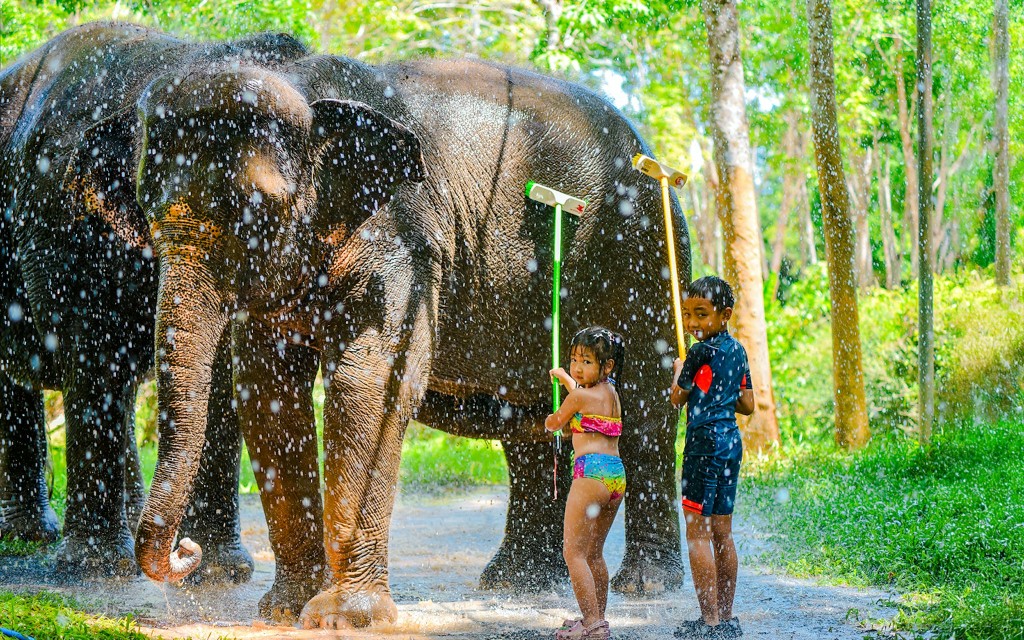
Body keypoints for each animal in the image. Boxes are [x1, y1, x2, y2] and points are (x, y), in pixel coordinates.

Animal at [0, 22, 340, 581]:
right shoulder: (66, 229)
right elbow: (95, 355)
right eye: (149, 205)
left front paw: (221, 571)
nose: (185, 551)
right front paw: (95, 570)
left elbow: (222, 375)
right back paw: (37, 539)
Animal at [133, 50, 690, 627]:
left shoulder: (406, 240)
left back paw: (644, 585)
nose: (186, 550)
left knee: (644, 413)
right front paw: (284, 611)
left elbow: (370, 385)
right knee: (533, 421)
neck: (306, 84)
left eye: (257, 209)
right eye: (143, 206)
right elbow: (267, 393)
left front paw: (343, 618)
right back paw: (518, 584)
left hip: (642, 254)